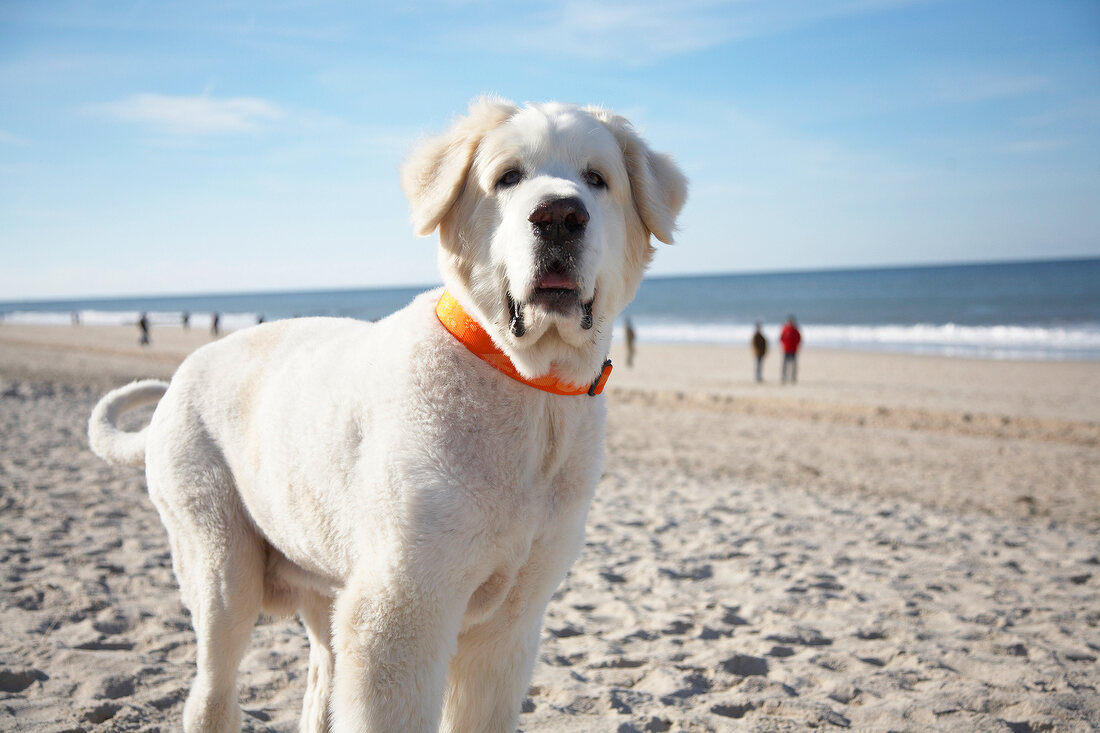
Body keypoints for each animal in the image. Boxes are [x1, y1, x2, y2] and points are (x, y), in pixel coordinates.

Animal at [88, 98, 686, 730]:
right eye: (507, 178)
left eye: (597, 179)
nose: (559, 216)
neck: (528, 385)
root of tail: (179, 379)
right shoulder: (399, 615)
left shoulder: (507, 630)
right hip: (221, 568)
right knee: (211, 691)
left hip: (324, 590)